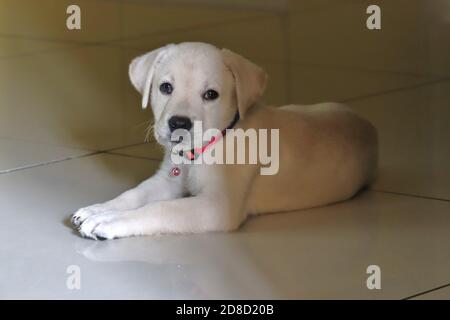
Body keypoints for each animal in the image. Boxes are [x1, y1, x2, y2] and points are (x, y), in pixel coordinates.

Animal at [71, 42, 376, 240]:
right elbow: (134, 195)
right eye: (165, 87)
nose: (178, 124)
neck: (201, 152)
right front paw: (99, 210)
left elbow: (160, 208)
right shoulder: (167, 180)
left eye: (211, 94)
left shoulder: (216, 207)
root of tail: (368, 124)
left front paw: (109, 222)